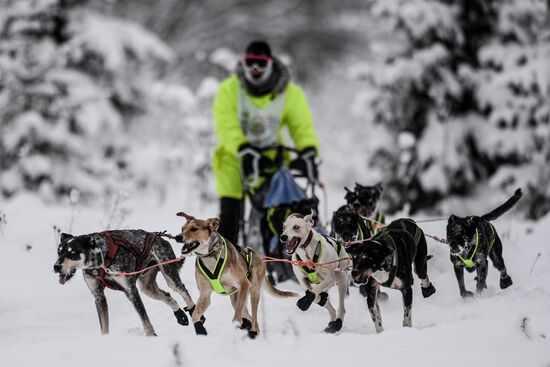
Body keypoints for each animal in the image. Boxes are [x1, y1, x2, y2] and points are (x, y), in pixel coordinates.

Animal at [52, 231, 198, 338]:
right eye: (59, 251)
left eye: (72, 253)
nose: (56, 267)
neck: (101, 259)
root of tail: (159, 237)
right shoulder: (99, 296)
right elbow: (104, 326)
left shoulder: (131, 291)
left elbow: (145, 320)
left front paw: (151, 336)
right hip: (146, 288)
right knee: (167, 296)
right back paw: (181, 316)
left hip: (170, 277)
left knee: (184, 292)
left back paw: (197, 322)